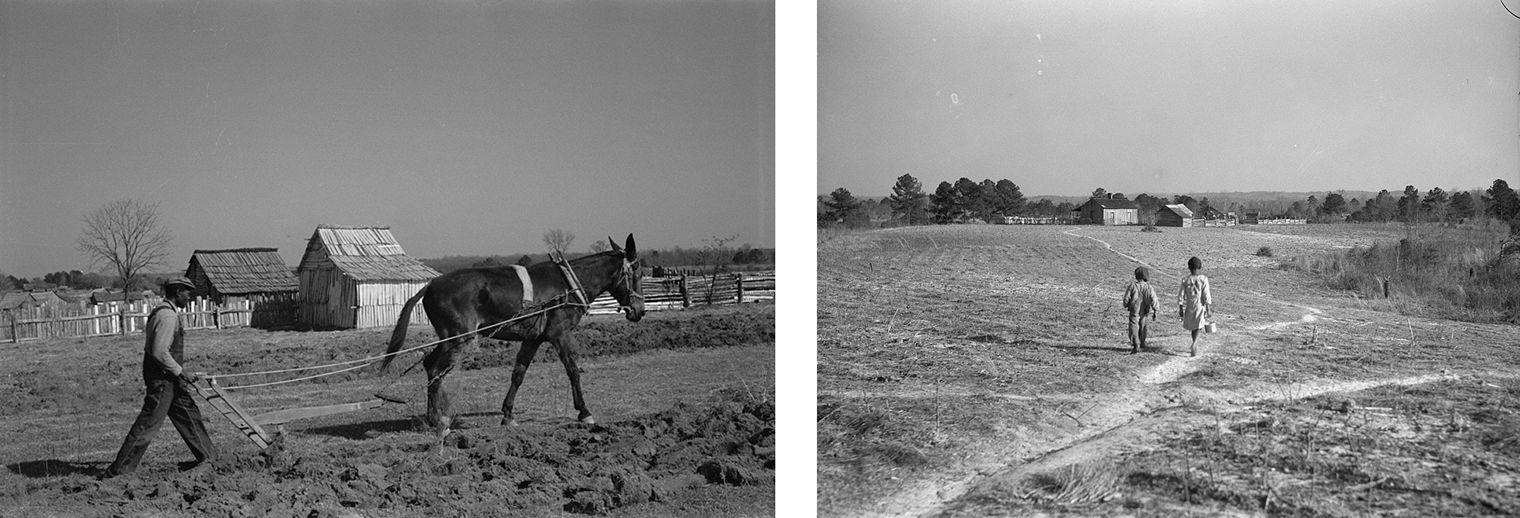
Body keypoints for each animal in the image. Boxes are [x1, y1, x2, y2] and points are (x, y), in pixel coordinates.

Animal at [381, 234, 645, 433]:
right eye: (638, 274)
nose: (639, 311)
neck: (568, 285)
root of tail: (430, 285)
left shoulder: (532, 340)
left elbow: (518, 374)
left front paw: (508, 414)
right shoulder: (560, 335)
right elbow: (573, 371)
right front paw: (584, 412)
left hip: (450, 339)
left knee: (430, 365)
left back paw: (433, 415)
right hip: (457, 339)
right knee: (436, 370)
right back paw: (438, 420)